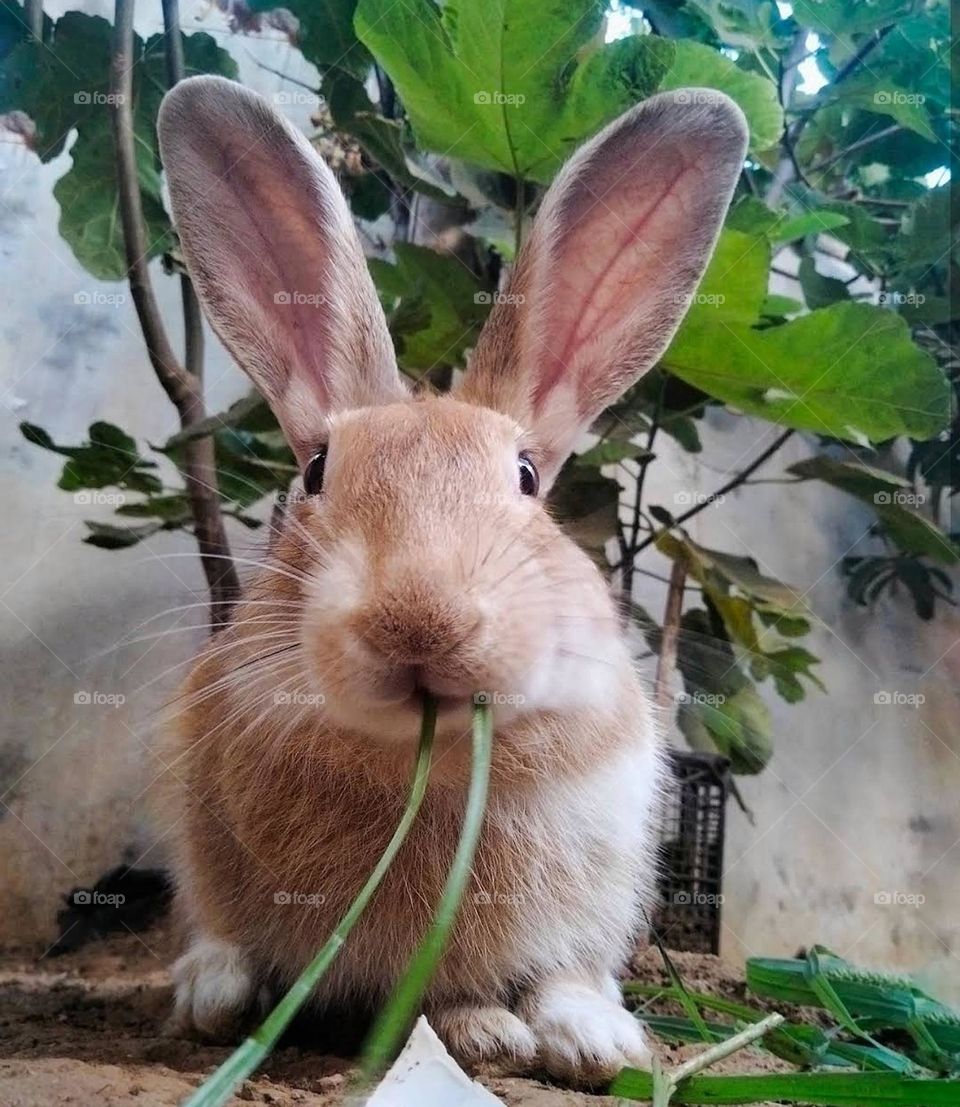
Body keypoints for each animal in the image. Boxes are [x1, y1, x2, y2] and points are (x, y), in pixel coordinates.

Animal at [156, 75, 746, 1081]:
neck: (426, 765)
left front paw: (593, 1040)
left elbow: (564, 973)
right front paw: (484, 1031)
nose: (418, 619)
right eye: (318, 472)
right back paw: (216, 992)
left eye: (528, 478)